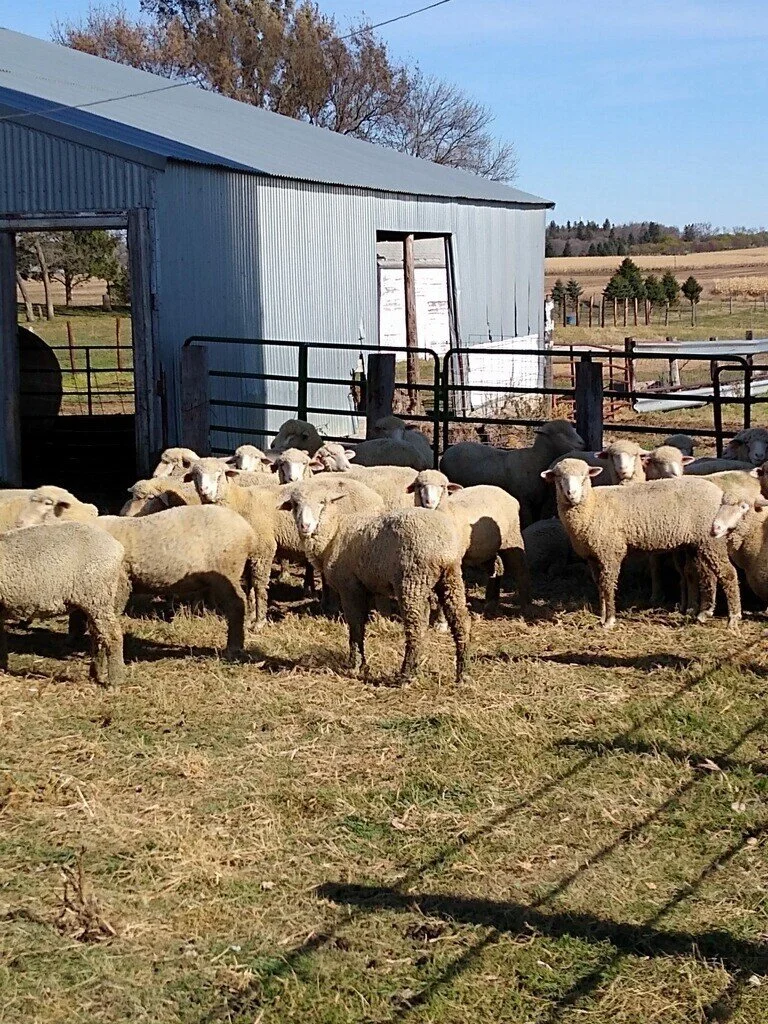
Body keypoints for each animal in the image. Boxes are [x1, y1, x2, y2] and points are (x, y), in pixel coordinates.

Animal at [0, 522, 127, 686]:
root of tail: (116, 545)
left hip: (98, 596)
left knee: (112, 635)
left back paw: (116, 680)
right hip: (92, 601)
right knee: (98, 636)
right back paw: (95, 674)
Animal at [281, 476, 470, 682]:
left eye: (322, 502)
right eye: (294, 505)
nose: (305, 526)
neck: (333, 533)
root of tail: (443, 546)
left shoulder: (350, 587)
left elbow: (355, 626)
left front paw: (356, 665)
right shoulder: (368, 586)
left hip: (411, 580)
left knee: (415, 628)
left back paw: (405, 675)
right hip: (449, 577)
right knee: (460, 621)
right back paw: (462, 673)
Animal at [407, 470, 531, 613]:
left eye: (443, 486)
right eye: (419, 485)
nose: (429, 502)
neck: (449, 512)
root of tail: (507, 494)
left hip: (511, 537)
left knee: (521, 568)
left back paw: (526, 606)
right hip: (484, 549)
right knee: (496, 568)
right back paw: (490, 602)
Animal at [440, 420, 585, 526]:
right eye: (561, 433)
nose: (582, 443)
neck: (535, 459)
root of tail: (446, 453)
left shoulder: (539, 503)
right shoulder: (524, 501)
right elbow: (528, 522)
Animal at [541, 459, 741, 629]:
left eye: (584, 477)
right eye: (558, 477)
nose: (572, 494)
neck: (592, 506)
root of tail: (718, 493)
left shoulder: (610, 551)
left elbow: (608, 585)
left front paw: (610, 620)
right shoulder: (593, 556)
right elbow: (599, 586)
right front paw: (602, 616)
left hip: (711, 539)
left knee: (728, 574)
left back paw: (733, 618)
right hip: (698, 543)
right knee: (709, 574)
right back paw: (704, 613)